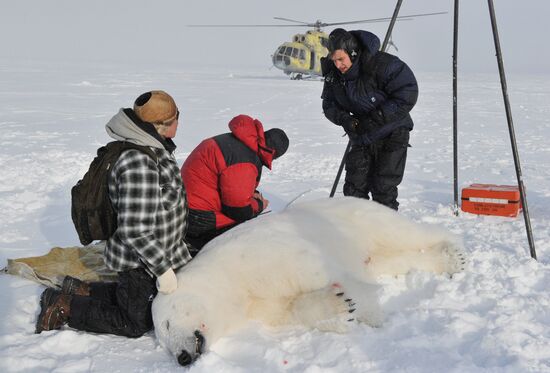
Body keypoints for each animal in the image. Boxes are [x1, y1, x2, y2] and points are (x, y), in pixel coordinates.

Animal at [153, 196, 468, 364]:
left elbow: (313, 268)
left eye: (167, 323)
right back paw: (449, 259)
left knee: (403, 232)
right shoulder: (258, 306)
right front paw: (339, 307)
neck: (230, 281)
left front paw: (371, 313)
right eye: (165, 343)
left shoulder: (257, 255)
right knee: (394, 259)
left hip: (359, 217)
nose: (182, 357)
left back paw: (455, 249)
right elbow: (289, 309)